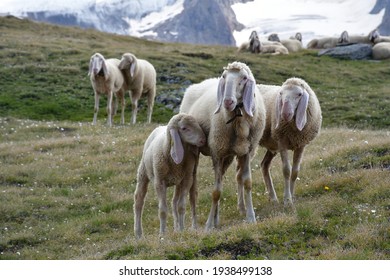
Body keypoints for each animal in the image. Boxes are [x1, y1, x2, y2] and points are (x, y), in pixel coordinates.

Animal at [179, 61, 266, 230]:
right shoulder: (217, 153)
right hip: (197, 152)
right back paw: (198, 224)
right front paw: (208, 226)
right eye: (224, 76)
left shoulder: (246, 152)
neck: (237, 119)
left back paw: (216, 219)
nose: (227, 102)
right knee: (193, 190)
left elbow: (247, 183)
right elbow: (216, 192)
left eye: (244, 78)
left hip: (228, 156)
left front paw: (251, 217)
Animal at [258, 77, 322, 207]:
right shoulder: (282, 142)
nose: (285, 114)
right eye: (281, 93)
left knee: (264, 165)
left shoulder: (301, 144)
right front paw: (287, 200)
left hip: (272, 146)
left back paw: (273, 198)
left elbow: (295, 172)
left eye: (299, 94)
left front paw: (292, 198)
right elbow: (286, 170)